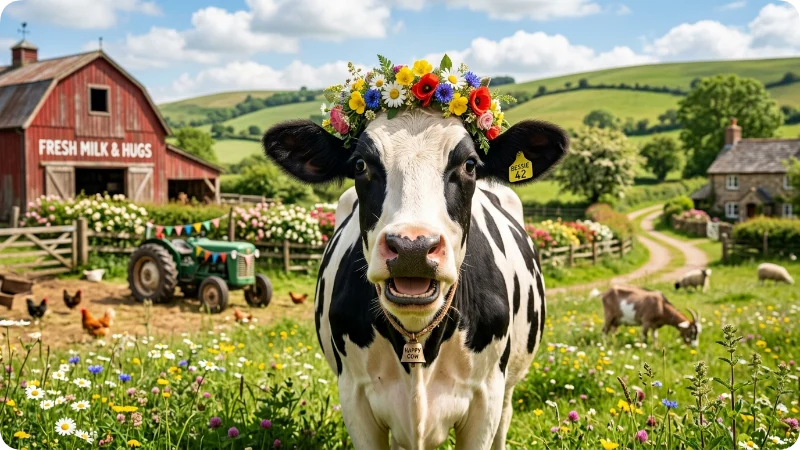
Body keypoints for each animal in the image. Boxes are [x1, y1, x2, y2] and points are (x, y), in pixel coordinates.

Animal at [263, 109, 569, 450]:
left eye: (469, 164)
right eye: (360, 165)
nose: (413, 247)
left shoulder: (486, 396)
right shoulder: (355, 396)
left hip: (506, 389)